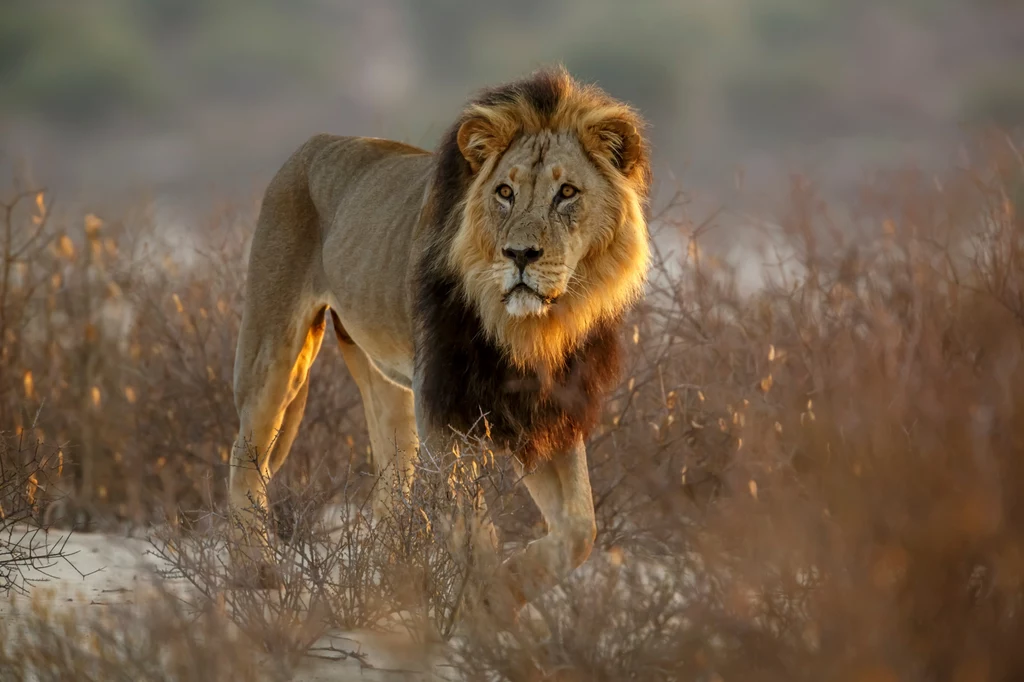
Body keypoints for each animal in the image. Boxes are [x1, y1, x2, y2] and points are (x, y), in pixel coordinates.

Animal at [228, 66, 651, 618]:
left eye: (567, 193)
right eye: (505, 192)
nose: (520, 254)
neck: (531, 329)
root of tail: (314, 142)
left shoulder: (545, 413)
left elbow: (580, 529)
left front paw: (504, 594)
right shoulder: (444, 415)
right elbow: (473, 529)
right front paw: (486, 607)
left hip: (385, 388)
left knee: (388, 489)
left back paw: (388, 589)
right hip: (275, 351)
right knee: (244, 456)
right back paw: (255, 573)